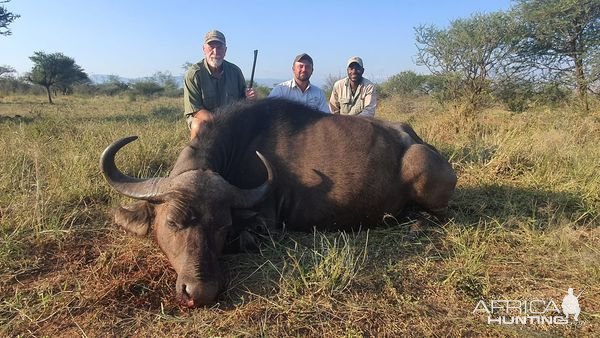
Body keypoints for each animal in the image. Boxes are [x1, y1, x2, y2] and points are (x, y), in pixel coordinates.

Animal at [102, 98, 454, 308]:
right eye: (174, 222)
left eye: (222, 227)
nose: (201, 292)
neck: (238, 146)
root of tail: (417, 142)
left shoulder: (265, 223)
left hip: (422, 171)